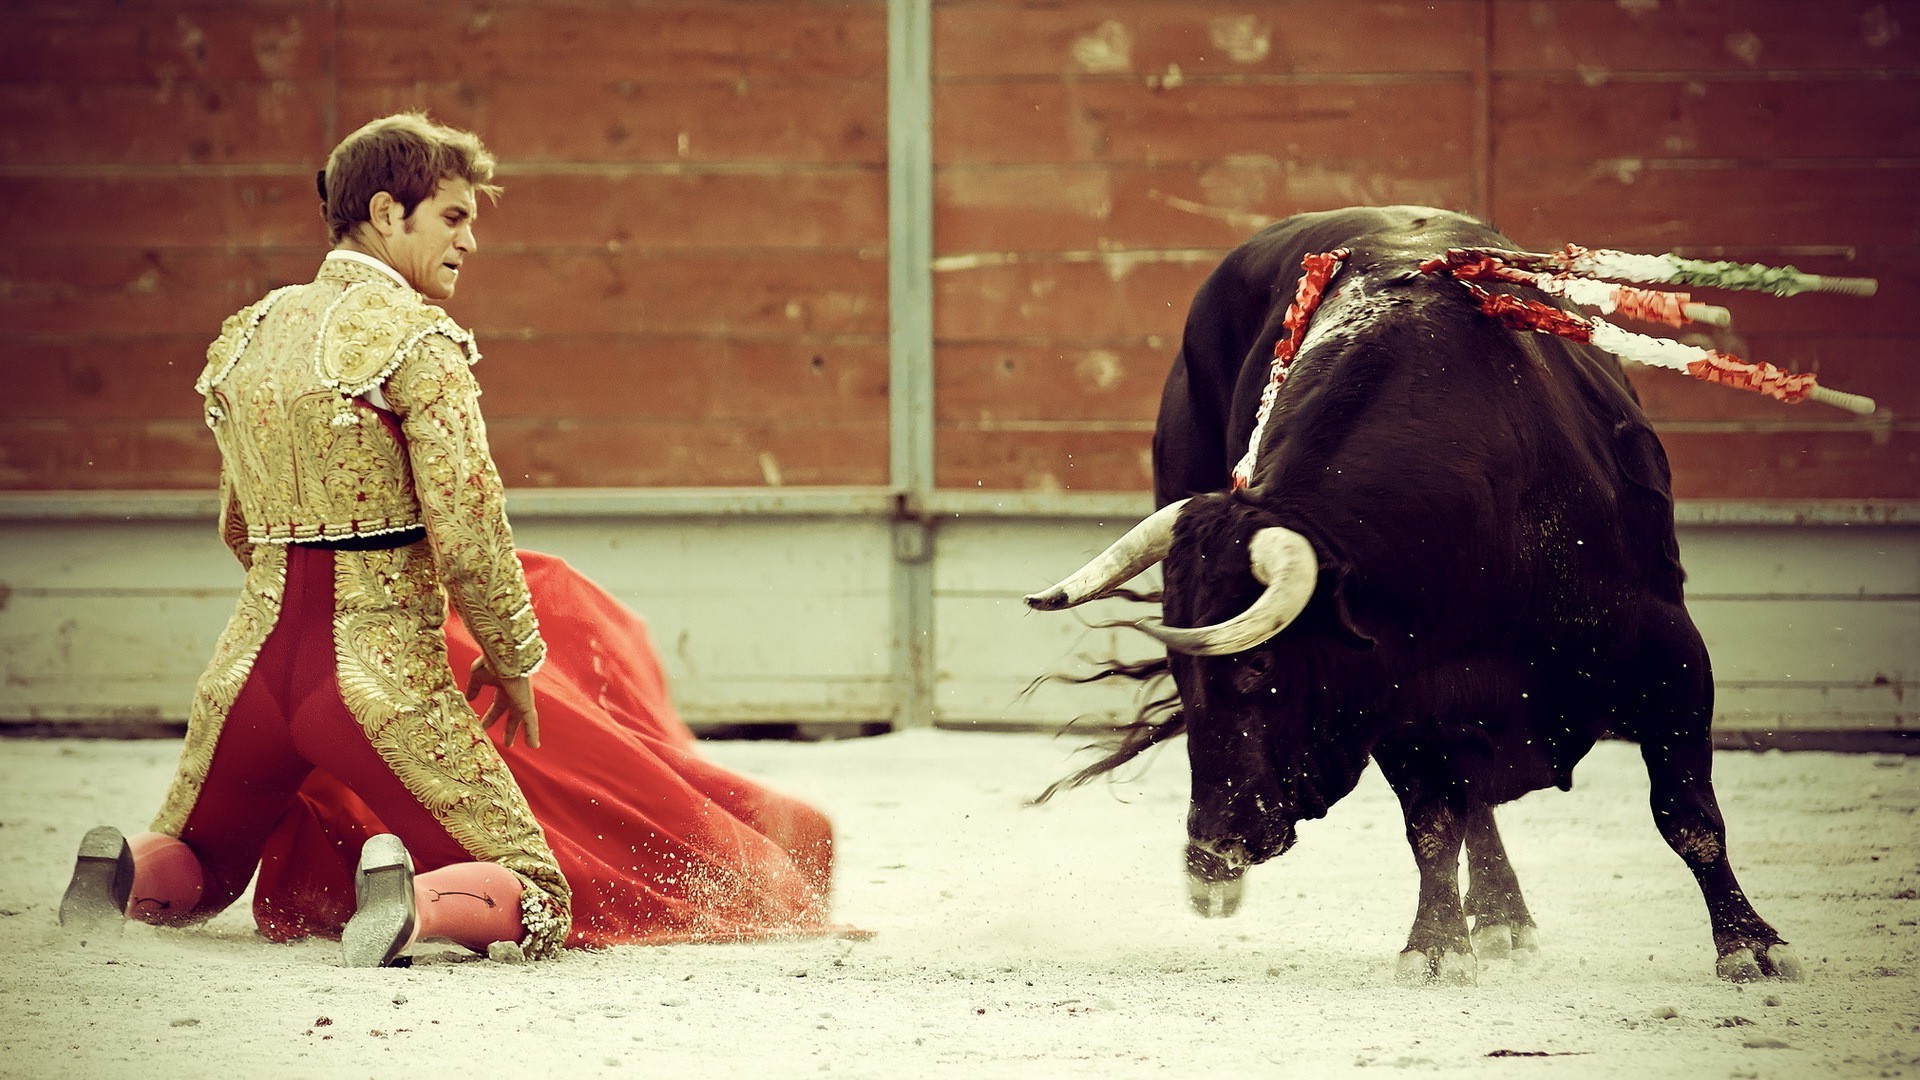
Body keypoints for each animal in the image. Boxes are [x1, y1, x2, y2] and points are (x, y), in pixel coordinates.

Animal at [1036, 203, 1797, 983]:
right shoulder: (1399, 695)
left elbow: (1688, 813)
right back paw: (1499, 913)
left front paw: (1749, 943)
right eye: (1183, 676)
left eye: (1255, 668)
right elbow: (1433, 823)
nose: (1213, 849)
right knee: (1471, 806)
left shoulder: (1673, 655)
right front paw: (1434, 945)